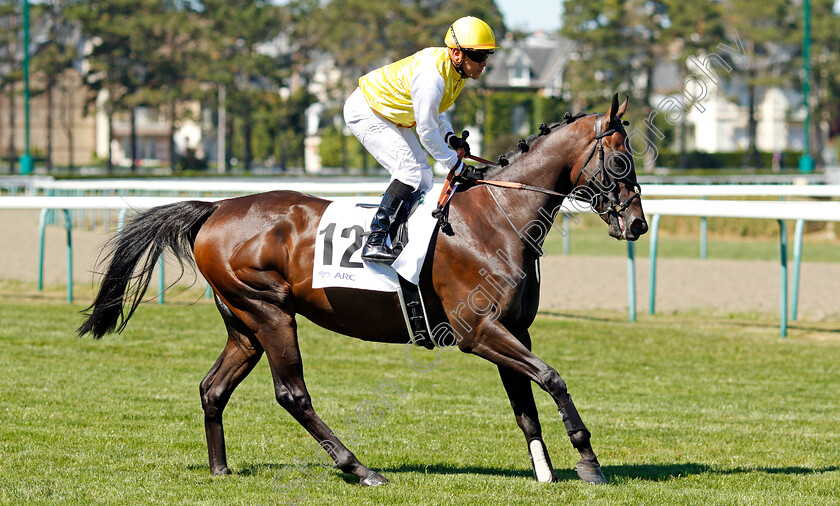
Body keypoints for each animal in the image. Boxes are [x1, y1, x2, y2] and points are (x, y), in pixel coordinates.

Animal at [79, 94, 648, 486]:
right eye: (621, 159)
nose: (638, 224)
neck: (497, 218)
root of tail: (216, 208)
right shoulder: (477, 331)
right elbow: (552, 378)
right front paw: (589, 462)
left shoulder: (512, 330)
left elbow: (525, 402)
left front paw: (546, 472)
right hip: (270, 311)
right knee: (292, 393)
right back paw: (360, 468)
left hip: (243, 323)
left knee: (213, 388)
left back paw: (221, 470)